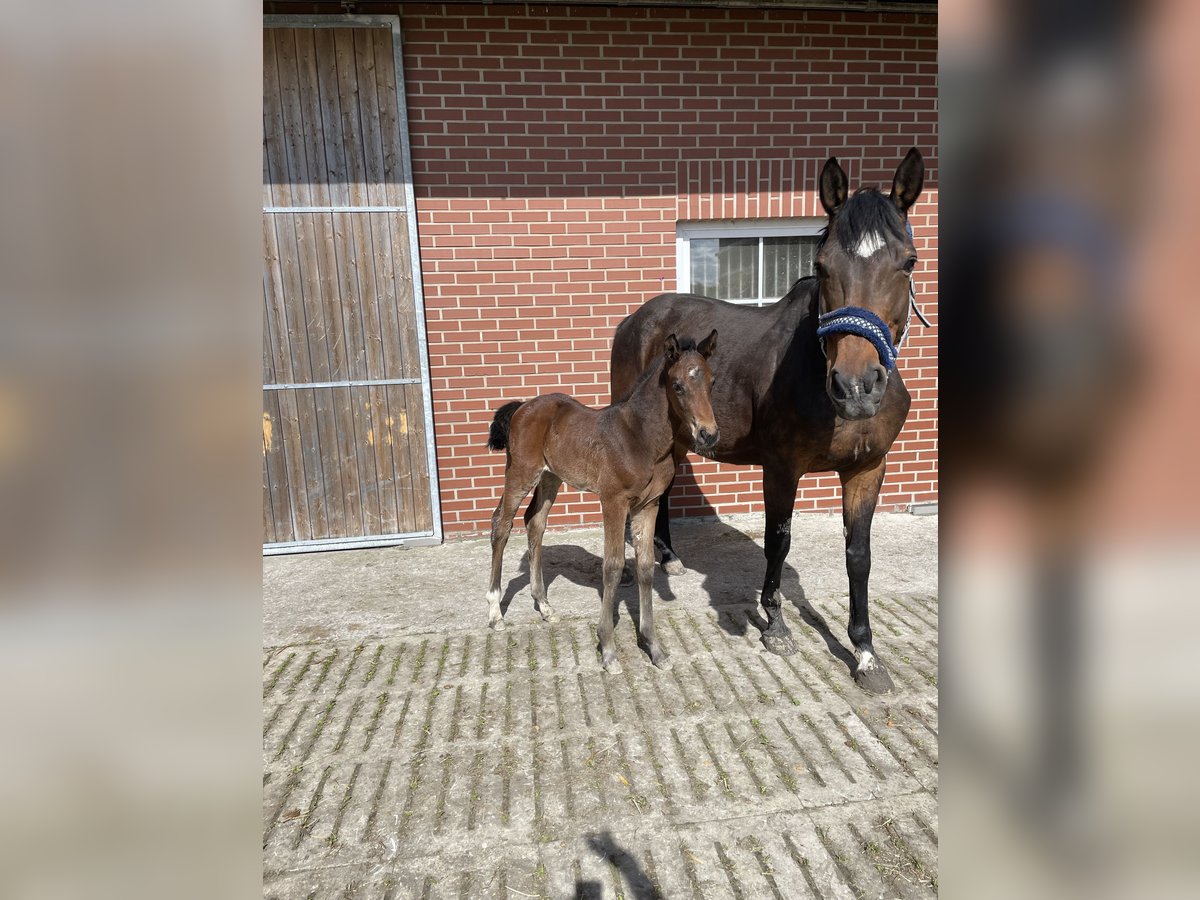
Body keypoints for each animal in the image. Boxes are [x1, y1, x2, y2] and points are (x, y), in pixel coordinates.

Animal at [485, 331, 719, 673]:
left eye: (712, 381)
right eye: (677, 386)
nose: (708, 434)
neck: (641, 438)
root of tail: (523, 407)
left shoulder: (648, 505)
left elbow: (645, 565)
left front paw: (654, 647)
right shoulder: (613, 502)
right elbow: (613, 566)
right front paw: (608, 649)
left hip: (550, 477)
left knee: (534, 524)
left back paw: (545, 606)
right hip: (520, 473)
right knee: (501, 525)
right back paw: (495, 612)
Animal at [609, 148, 926, 693]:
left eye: (908, 262)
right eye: (821, 264)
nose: (856, 387)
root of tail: (636, 320)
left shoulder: (868, 470)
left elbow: (858, 555)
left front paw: (865, 652)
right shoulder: (781, 468)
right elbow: (778, 541)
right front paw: (775, 624)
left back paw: (667, 554)